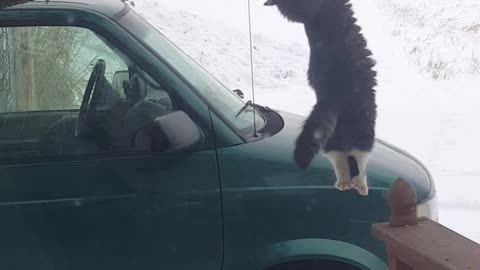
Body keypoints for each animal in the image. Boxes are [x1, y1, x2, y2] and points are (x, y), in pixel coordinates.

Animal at [264, 0, 376, 195]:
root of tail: (333, 96)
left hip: (337, 139)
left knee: (343, 161)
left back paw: (346, 185)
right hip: (363, 132)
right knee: (357, 162)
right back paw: (356, 185)